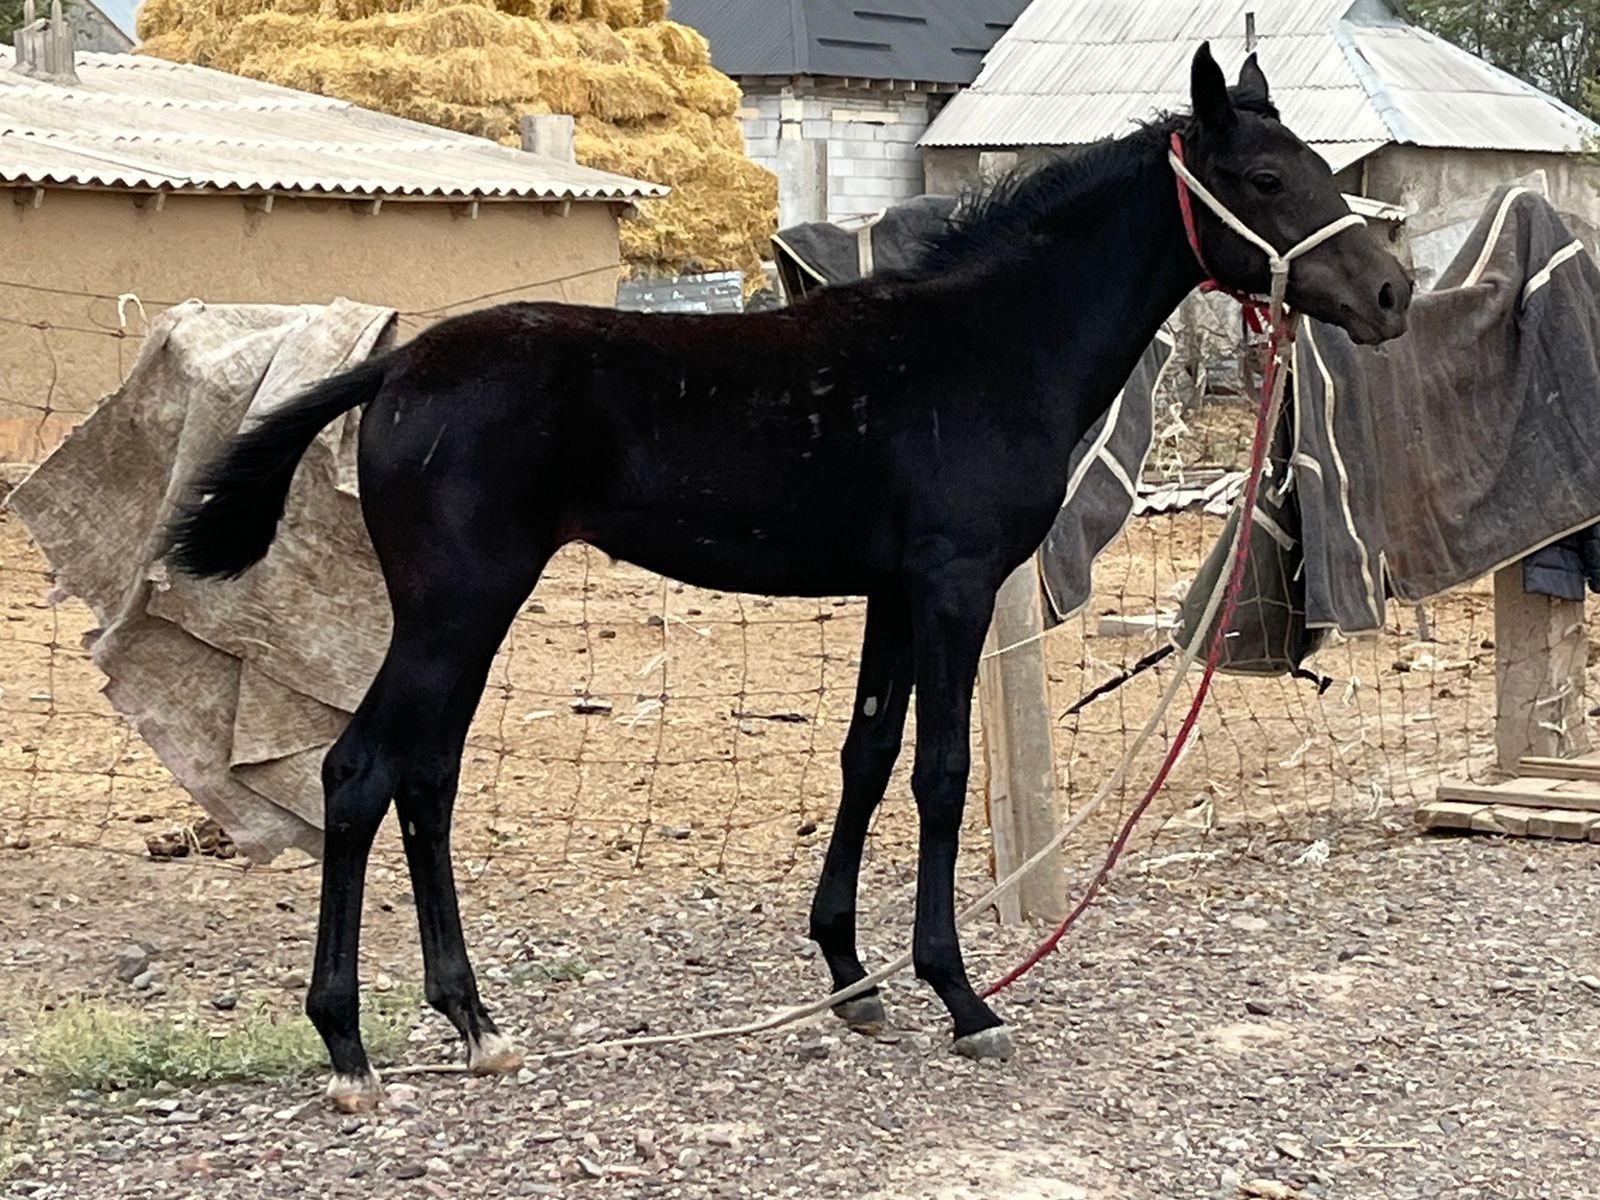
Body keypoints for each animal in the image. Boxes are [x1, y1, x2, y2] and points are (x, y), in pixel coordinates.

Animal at [162, 42, 1414, 1113]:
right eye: (1266, 176)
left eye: (1318, 166)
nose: (1391, 295)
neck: (987, 346)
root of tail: (399, 365)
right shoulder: (954, 586)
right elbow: (939, 775)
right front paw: (960, 996)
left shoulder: (891, 592)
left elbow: (865, 758)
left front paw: (852, 978)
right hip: (452, 607)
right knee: (359, 772)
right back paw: (348, 1049)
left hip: (468, 612)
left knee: (426, 779)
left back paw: (475, 1024)